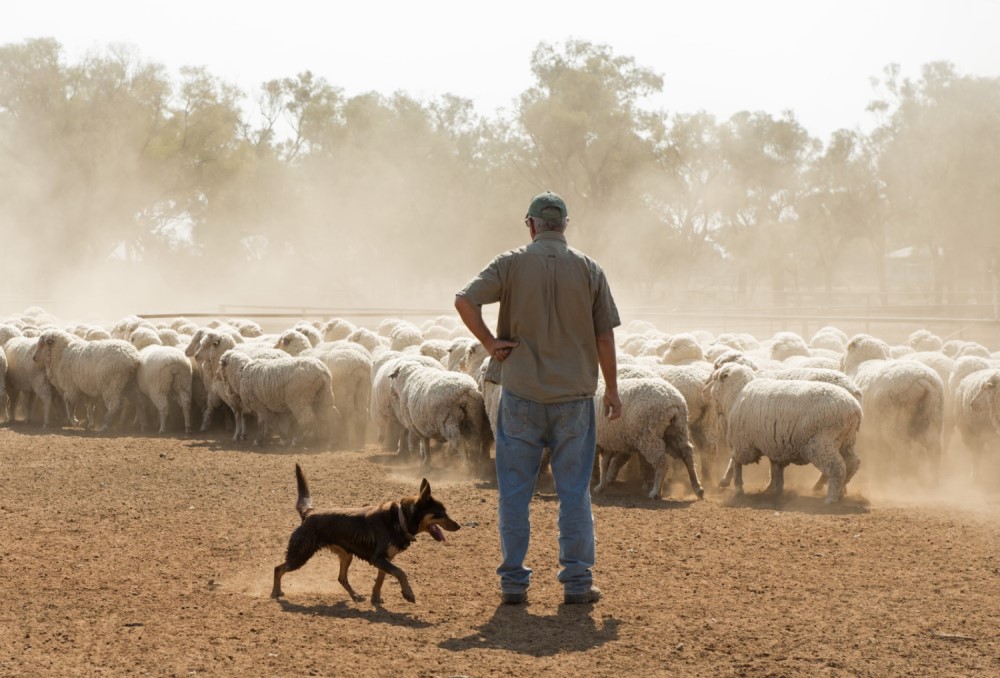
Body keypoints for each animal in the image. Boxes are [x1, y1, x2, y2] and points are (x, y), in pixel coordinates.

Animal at [272, 468, 462, 604]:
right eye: (441, 514)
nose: (459, 526)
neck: (399, 519)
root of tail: (309, 513)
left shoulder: (385, 559)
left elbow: (381, 579)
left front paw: (375, 598)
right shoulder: (378, 558)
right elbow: (401, 573)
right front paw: (408, 593)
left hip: (346, 556)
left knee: (342, 578)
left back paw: (355, 595)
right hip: (300, 554)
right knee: (278, 569)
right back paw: (275, 592)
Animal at [708, 366, 864, 504]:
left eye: (715, 378)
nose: (706, 390)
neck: (737, 394)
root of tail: (855, 407)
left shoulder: (743, 443)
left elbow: (736, 462)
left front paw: (737, 487)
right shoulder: (774, 443)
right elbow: (776, 468)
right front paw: (776, 490)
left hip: (822, 442)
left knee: (837, 467)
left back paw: (831, 498)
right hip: (846, 440)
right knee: (852, 463)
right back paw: (840, 491)